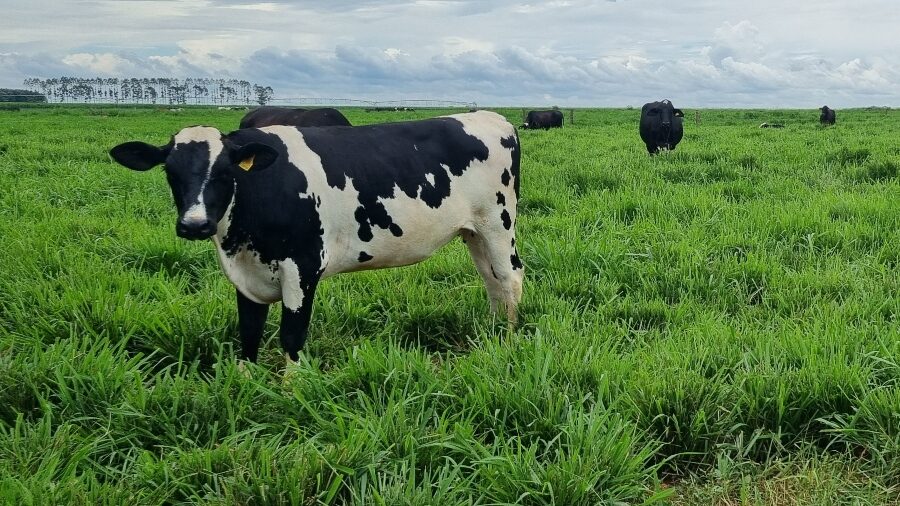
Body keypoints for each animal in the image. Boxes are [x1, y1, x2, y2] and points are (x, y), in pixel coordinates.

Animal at [109, 111, 523, 366]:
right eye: (170, 172)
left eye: (227, 171)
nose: (194, 225)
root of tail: (492, 117)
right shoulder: (245, 274)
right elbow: (248, 333)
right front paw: (244, 384)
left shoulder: (303, 267)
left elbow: (292, 336)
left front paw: (289, 392)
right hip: (472, 232)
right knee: (491, 280)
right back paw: (491, 332)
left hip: (497, 223)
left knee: (510, 277)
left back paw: (507, 340)